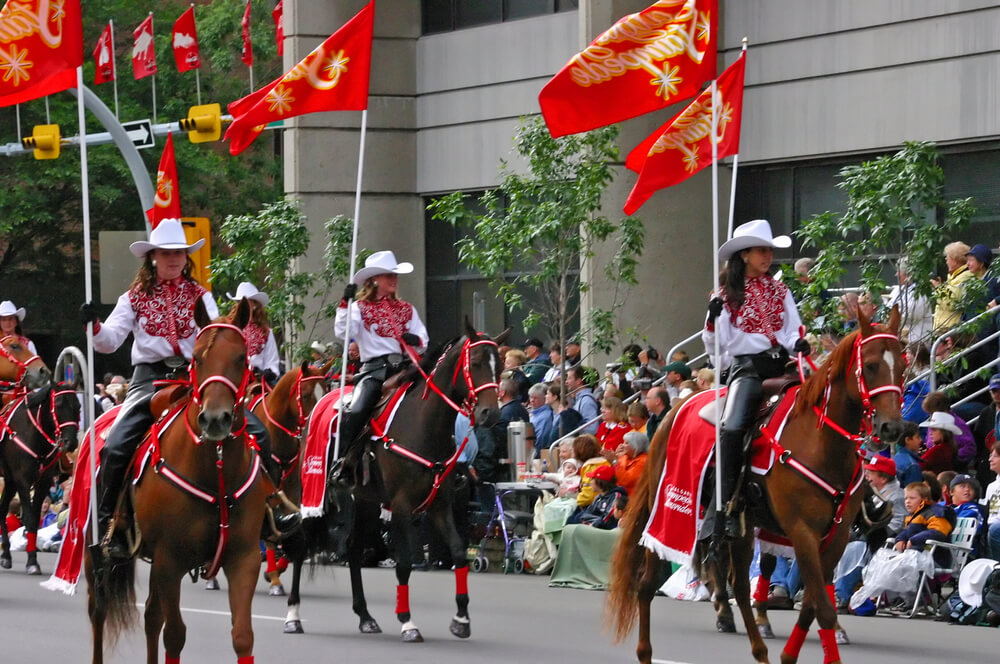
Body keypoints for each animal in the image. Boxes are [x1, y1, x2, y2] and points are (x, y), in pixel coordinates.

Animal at [0, 382, 80, 572]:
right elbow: (29, 518)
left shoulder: (42, 482)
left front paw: (32, 559)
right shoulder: (22, 481)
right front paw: (32, 562)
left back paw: (6, 555)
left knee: (2, 510)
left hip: (9, 481)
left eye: (78, 406)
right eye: (58, 405)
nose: (70, 442)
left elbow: (35, 520)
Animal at [85, 300, 274, 664]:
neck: (215, 469)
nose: (215, 419)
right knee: (98, 609)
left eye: (240, 357)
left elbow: (243, 636)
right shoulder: (170, 560)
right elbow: (174, 635)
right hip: (97, 554)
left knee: (150, 615)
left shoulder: (244, 557)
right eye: (197, 358)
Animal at [286, 320, 508, 640]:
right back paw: (293, 615)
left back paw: (365, 617)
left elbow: (457, 552)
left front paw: (461, 619)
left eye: (499, 365)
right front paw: (408, 622)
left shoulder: (439, 502)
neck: (424, 424)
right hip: (312, 492)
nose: (490, 414)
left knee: (354, 550)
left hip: (365, 501)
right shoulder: (402, 506)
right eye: (476, 362)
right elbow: (403, 564)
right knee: (302, 545)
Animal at [608, 308, 908, 664]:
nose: (892, 428)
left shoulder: (837, 535)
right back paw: (648, 651)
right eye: (872, 365)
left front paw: (789, 654)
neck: (821, 442)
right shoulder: (802, 531)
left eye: (903, 364)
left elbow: (812, 604)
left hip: (742, 524)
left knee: (738, 585)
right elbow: (822, 607)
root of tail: (675, 408)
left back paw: (758, 647)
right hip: (670, 512)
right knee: (648, 583)